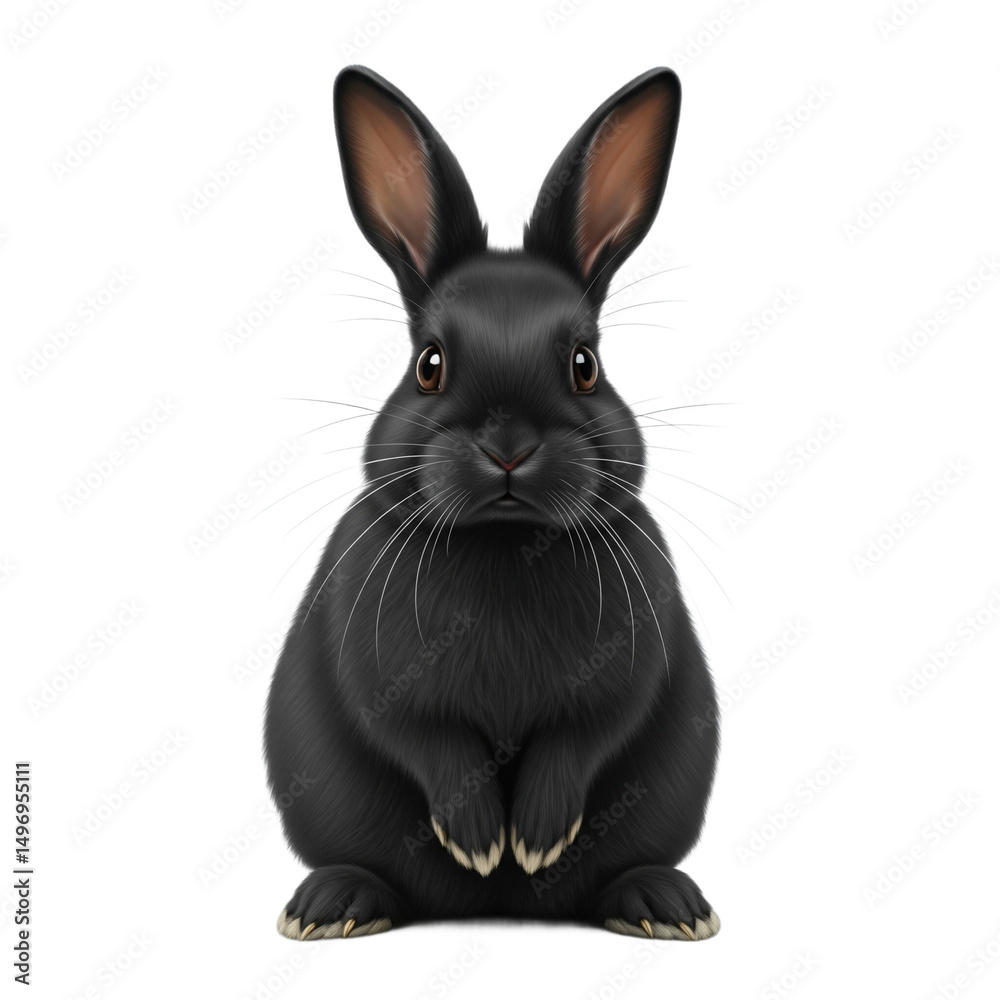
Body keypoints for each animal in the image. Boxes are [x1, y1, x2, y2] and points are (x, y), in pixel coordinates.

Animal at [264, 64, 720, 943]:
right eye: (429, 364)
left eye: (585, 364)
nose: (508, 444)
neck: (507, 542)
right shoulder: (378, 672)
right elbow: (422, 736)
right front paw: (481, 838)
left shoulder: (628, 667)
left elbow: (586, 733)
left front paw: (533, 834)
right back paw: (332, 904)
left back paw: (665, 904)